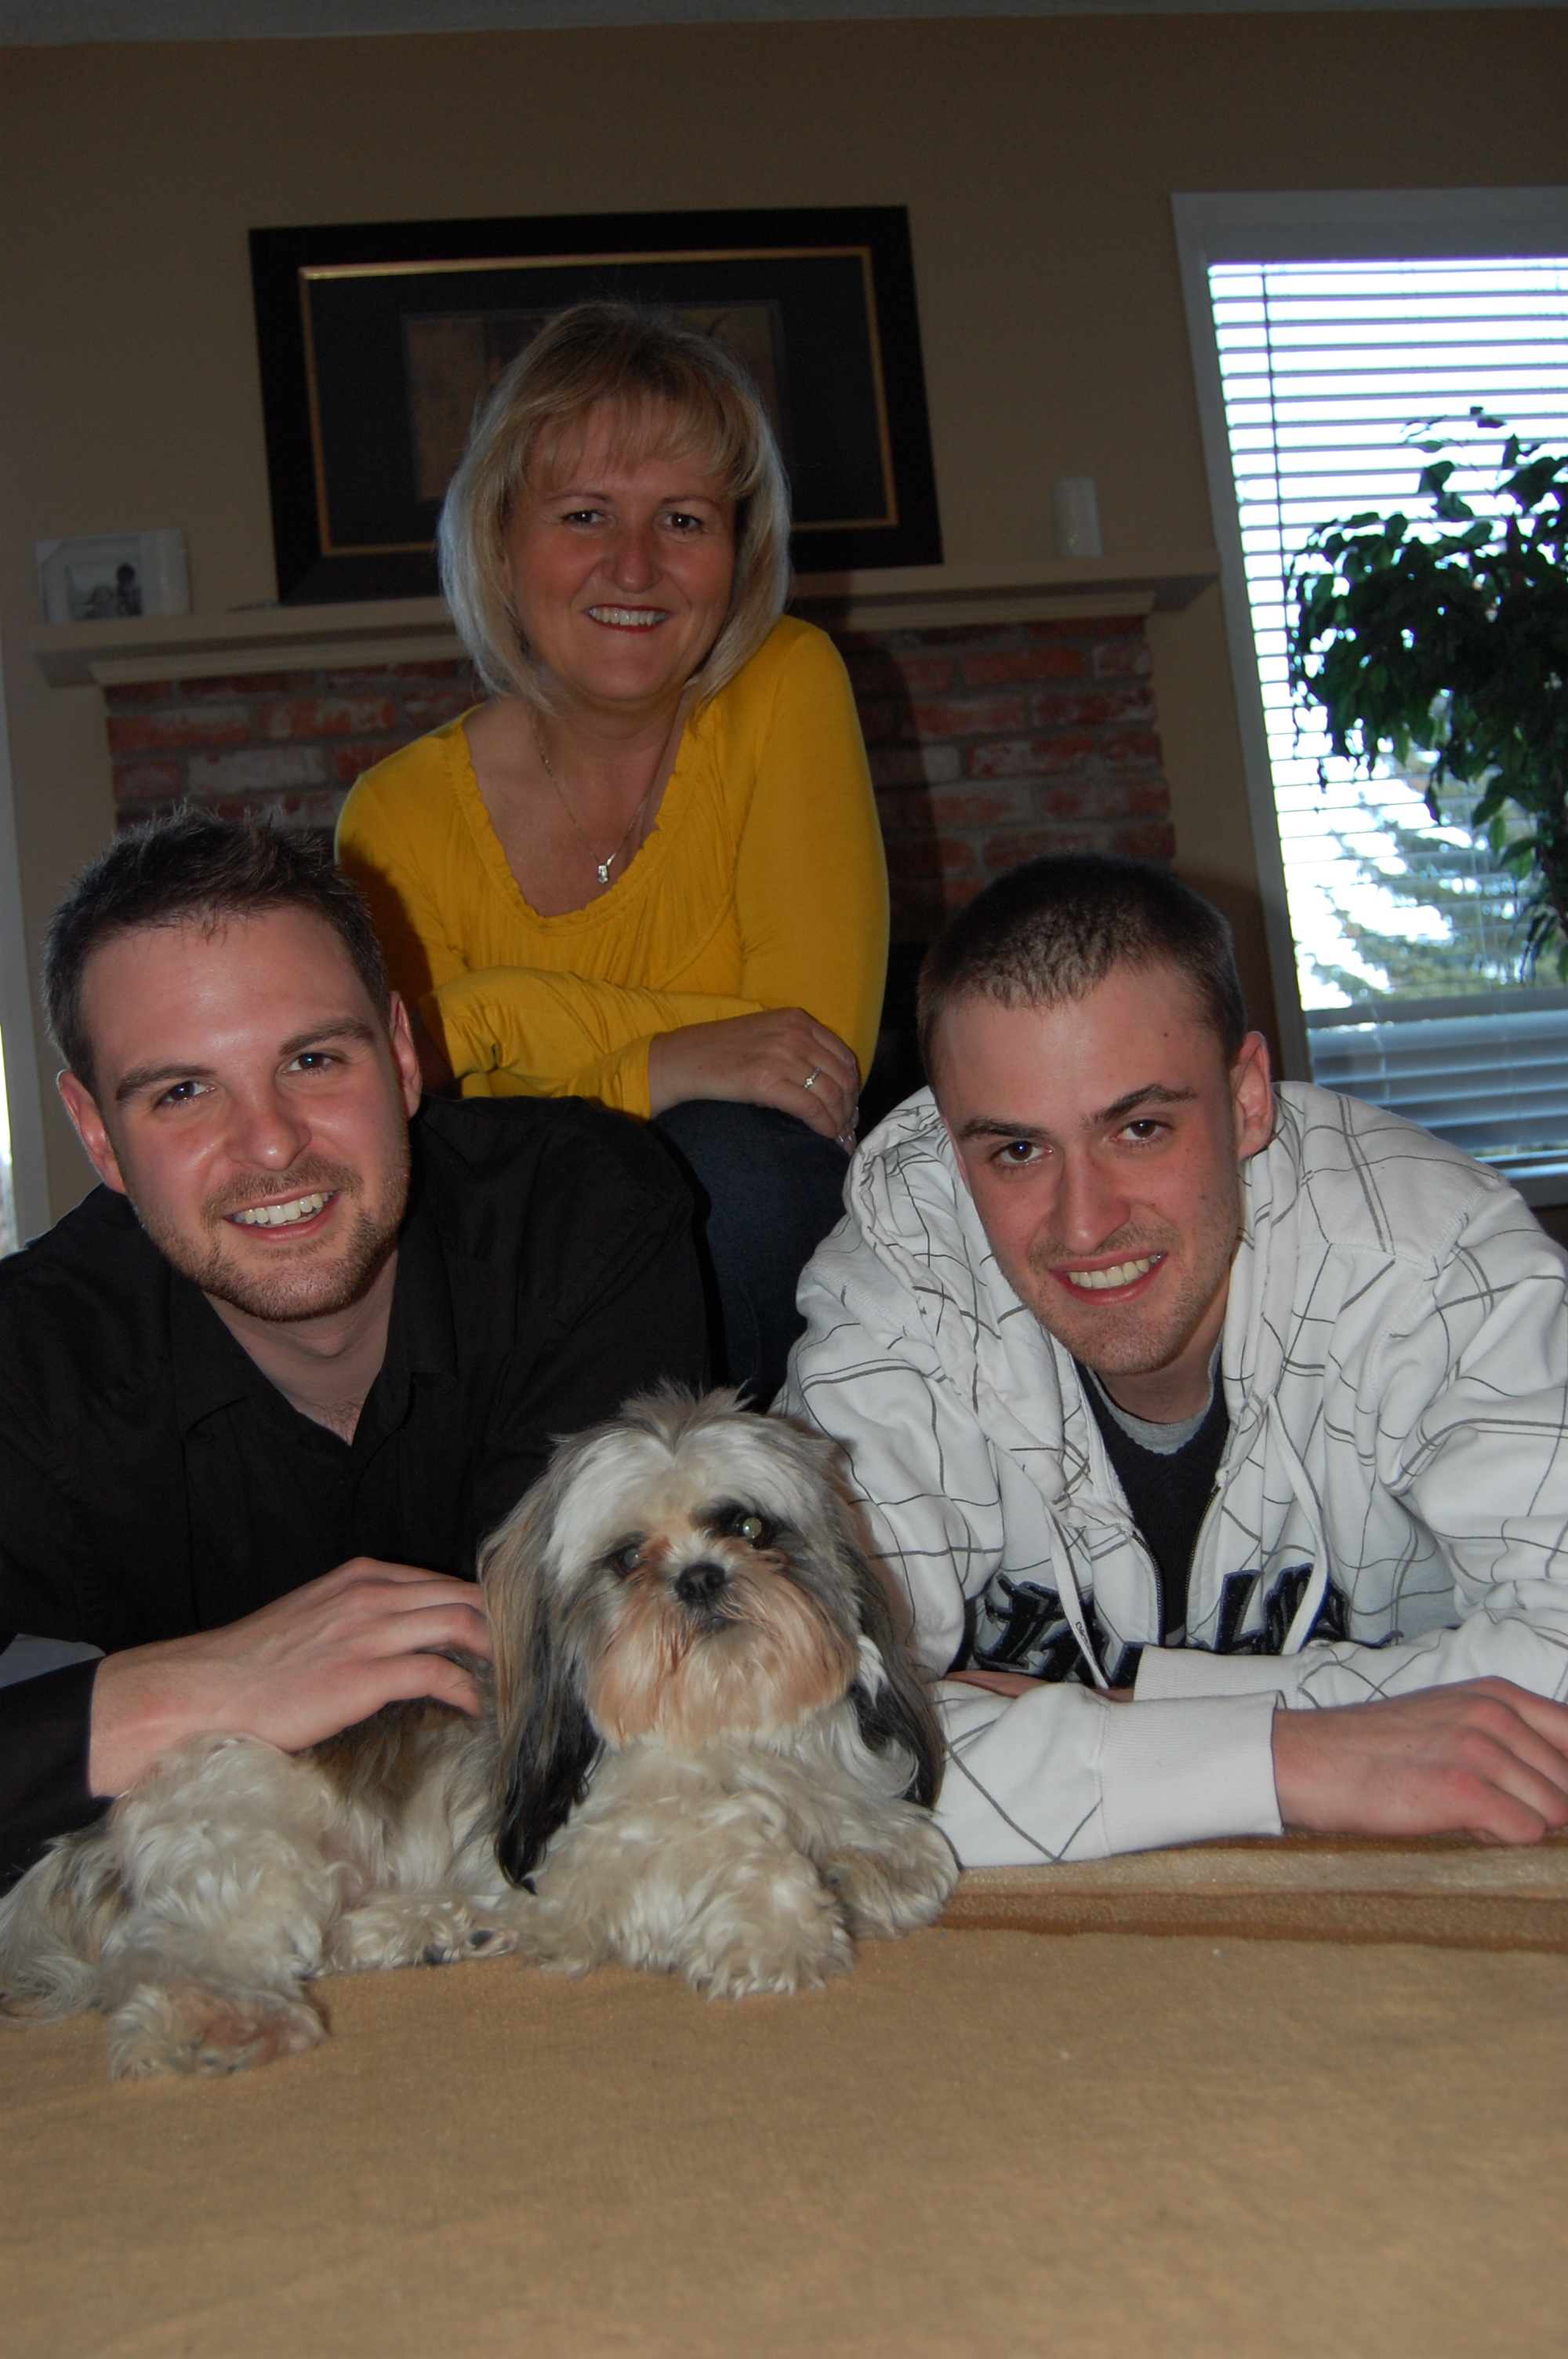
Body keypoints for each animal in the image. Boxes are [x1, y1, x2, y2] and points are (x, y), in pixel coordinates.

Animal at [0, 1390, 957, 2076]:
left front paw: (856, 1869)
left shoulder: (846, 1793)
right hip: (249, 1840)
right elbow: (731, 1841)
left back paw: (433, 1928)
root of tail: (90, 1843)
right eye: (625, 1559)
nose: (698, 1576)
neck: (728, 1724)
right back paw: (221, 2021)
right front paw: (783, 1926)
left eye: (748, 1525)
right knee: (177, 1956)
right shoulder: (586, 1849)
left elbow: (907, 1852)